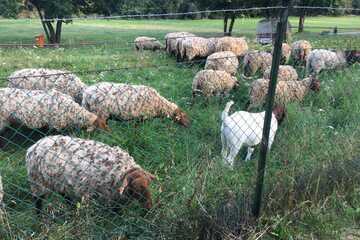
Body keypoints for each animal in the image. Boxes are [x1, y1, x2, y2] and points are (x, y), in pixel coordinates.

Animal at [26, 136, 156, 213]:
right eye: (136, 188)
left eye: (149, 184)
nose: (149, 207)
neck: (123, 172)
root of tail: (34, 146)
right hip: (37, 181)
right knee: (38, 200)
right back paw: (40, 217)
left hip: (59, 181)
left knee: (64, 194)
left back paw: (72, 208)